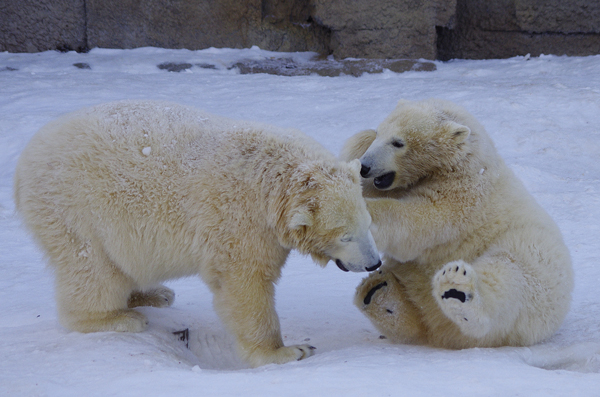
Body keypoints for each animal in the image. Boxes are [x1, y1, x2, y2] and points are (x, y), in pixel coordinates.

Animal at [14, 100, 380, 366]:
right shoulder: (239, 217)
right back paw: (119, 317)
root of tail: (24, 162)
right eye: (345, 236)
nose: (373, 263)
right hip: (77, 208)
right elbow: (245, 283)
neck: (271, 178)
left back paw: (154, 294)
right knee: (92, 266)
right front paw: (288, 351)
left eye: (367, 225)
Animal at [342, 98, 572, 346]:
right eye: (380, 133)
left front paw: (364, 211)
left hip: (533, 259)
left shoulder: (465, 195)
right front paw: (359, 145)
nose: (365, 166)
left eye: (398, 142)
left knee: (509, 274)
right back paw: (377, 291)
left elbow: (419, 219)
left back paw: (457, 291)